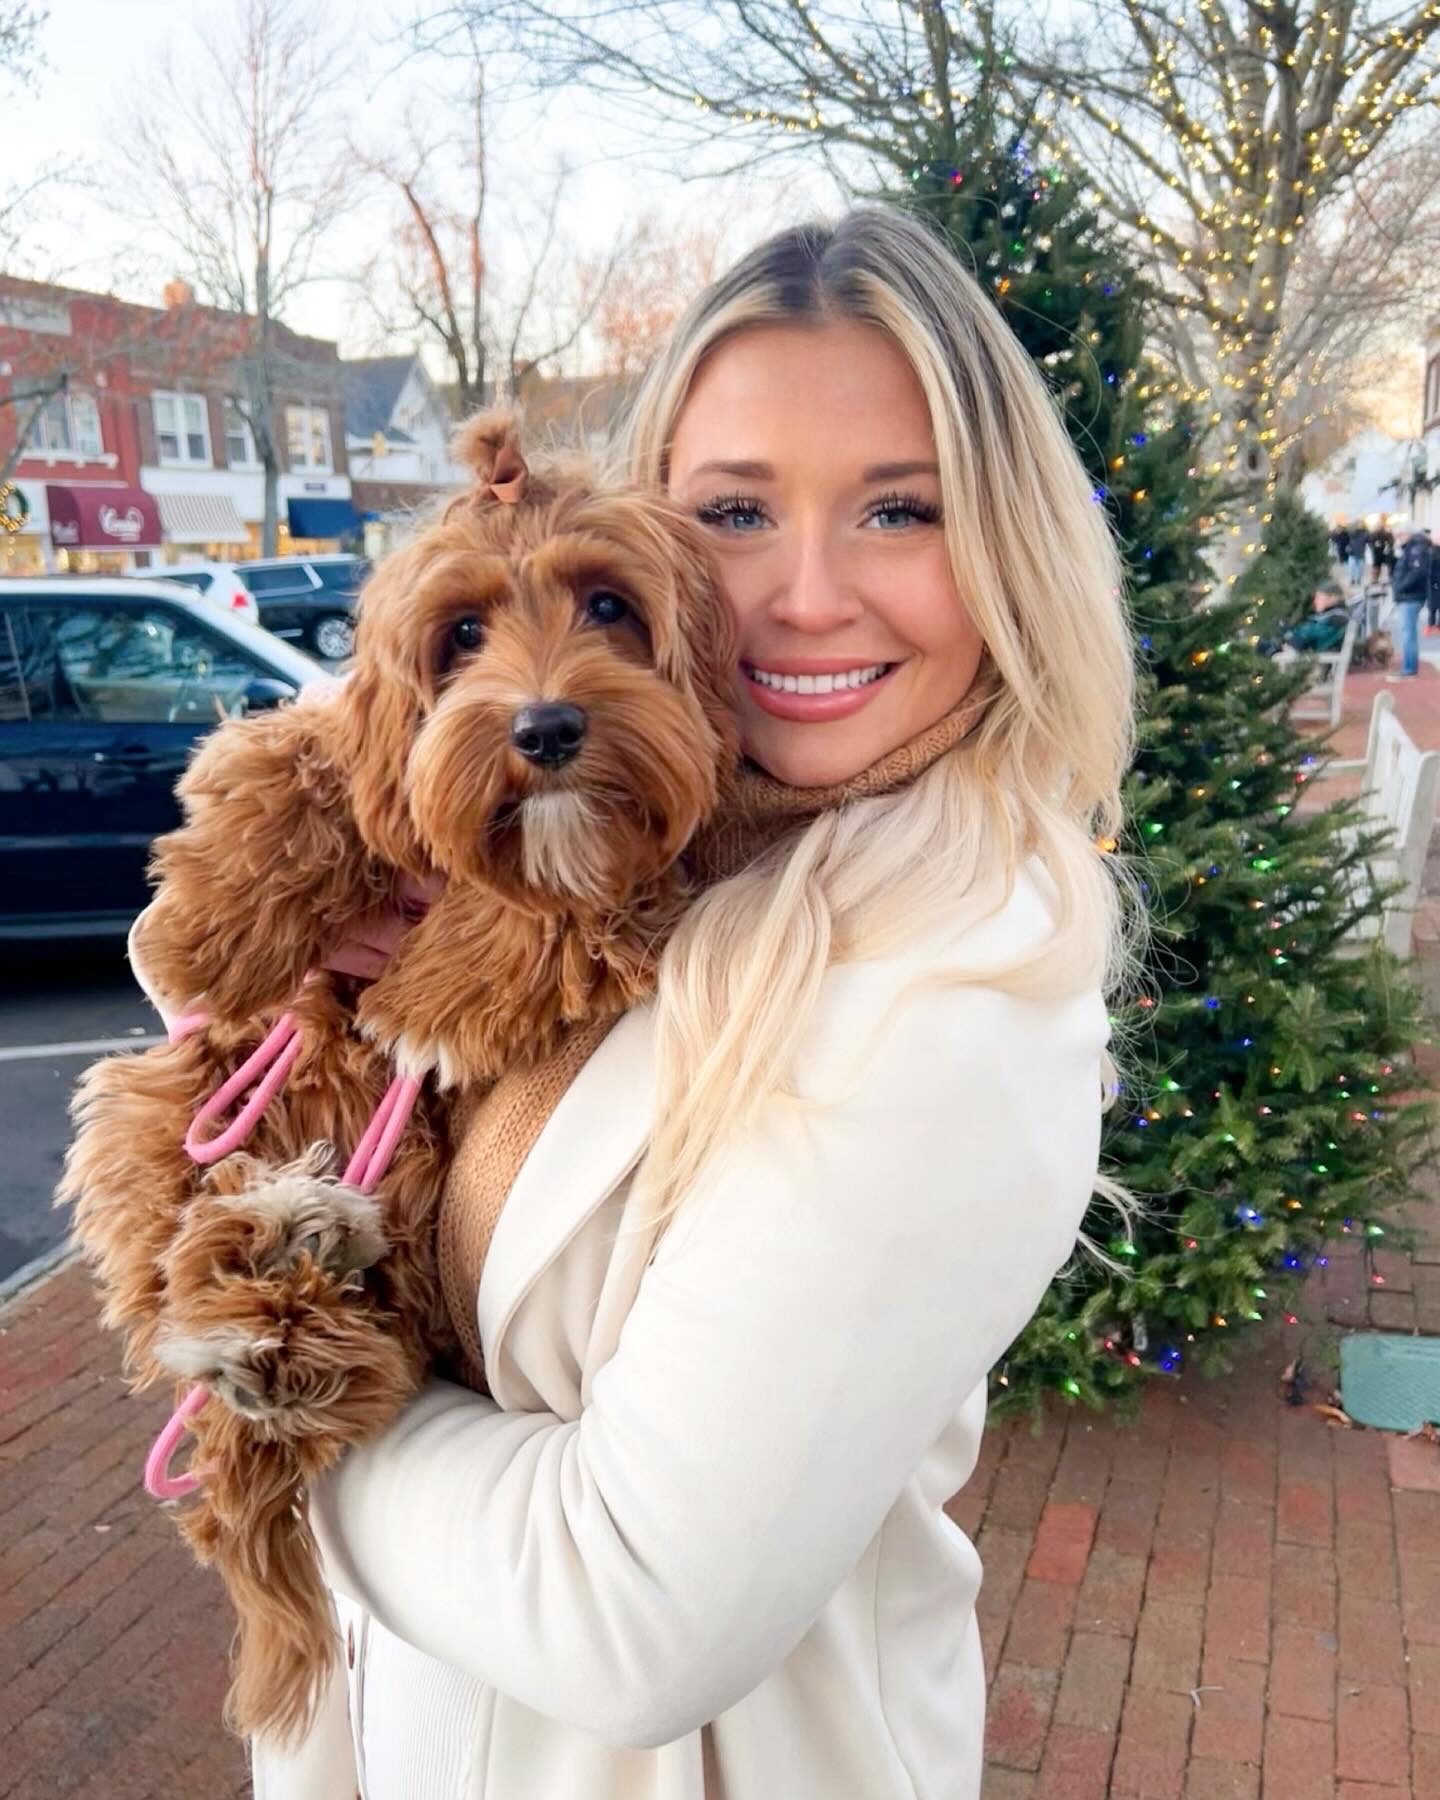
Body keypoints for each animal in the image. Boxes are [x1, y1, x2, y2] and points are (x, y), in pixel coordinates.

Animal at [59, 411, 738, 1745]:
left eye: (610, 606)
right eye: (462, 633)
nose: (545, 731)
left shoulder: (642, 880)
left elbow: (555, 913)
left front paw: (434, 993)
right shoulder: (356, 747)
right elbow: (295, 753)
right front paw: (209, 922)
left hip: (408, 1212)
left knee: (353, 1357)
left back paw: (292, 1308)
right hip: (153, 1108)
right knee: (175, 1255)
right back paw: (259, 1272)